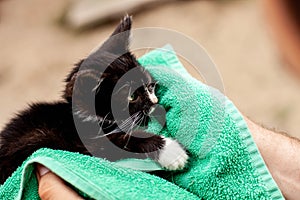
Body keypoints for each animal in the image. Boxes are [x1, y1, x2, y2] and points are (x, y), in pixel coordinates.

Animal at [0, 16, 188, 184]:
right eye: (132, 96)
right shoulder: (84, 144)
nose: (154, 102)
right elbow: (120, 142)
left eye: (149, 84)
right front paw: (172, 152)